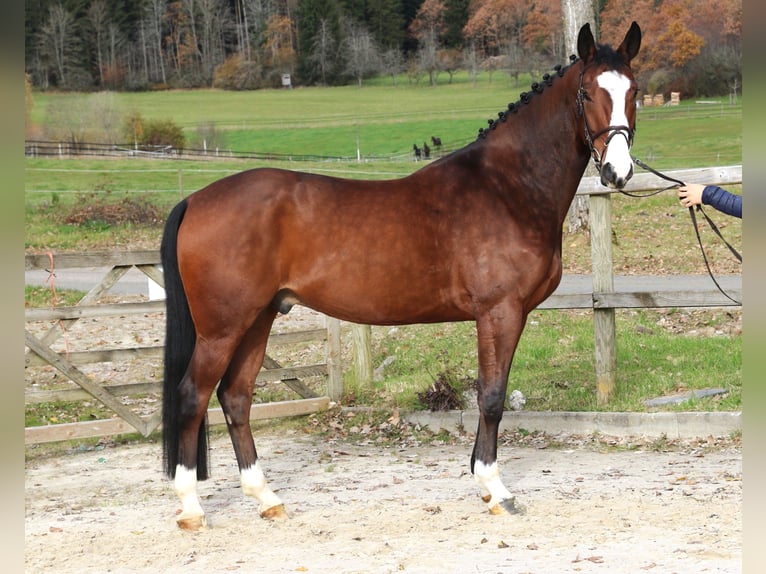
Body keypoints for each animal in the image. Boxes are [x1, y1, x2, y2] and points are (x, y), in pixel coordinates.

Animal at [161, 21, 641, 531]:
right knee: (193, 396)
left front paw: (482, 481)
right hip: (222, 328)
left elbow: (492, 394)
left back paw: (266, 497)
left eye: (634, 91)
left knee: (236, 397)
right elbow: (491, 397)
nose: (618, 171)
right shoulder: (500, 313)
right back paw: (191, 507)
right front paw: (495, 488)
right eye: (587, 92)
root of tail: (195, 199)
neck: (507, 187)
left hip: (258, 319)